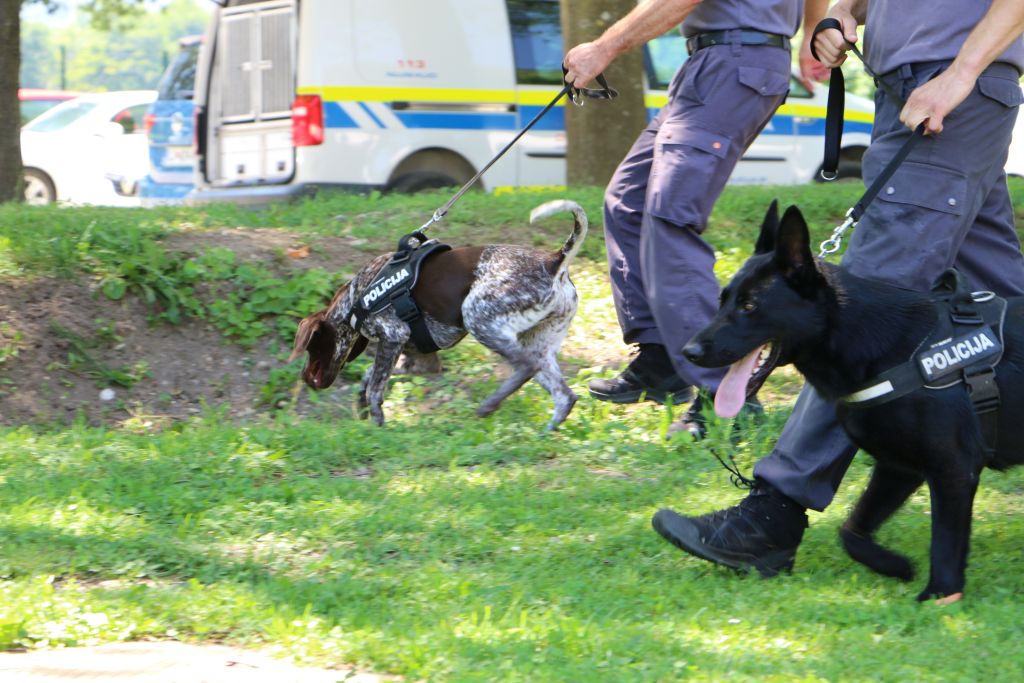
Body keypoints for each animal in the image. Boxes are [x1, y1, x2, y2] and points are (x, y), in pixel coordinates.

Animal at [292, 200, 589, 430]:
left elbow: (376, 387)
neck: (357, 295)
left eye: (311, 347)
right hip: (539, 345)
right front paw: (362, 407)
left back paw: (489, 406)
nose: (304, 378)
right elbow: (370, 377)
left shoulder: (394, 335)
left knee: (526, 366)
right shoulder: (414, 358)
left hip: (478, 318)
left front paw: (376, 421)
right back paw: (545, 434)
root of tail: (553, 261)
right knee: (564, 396)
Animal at [679, 200, 1024, 602]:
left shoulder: (953, 469)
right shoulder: (899, 468)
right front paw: (895, 565)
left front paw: (939, 596)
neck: (885, 347)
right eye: (723, 301)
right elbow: (851, 532)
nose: (689, 352)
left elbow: (945, 544)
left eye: (749, 306)